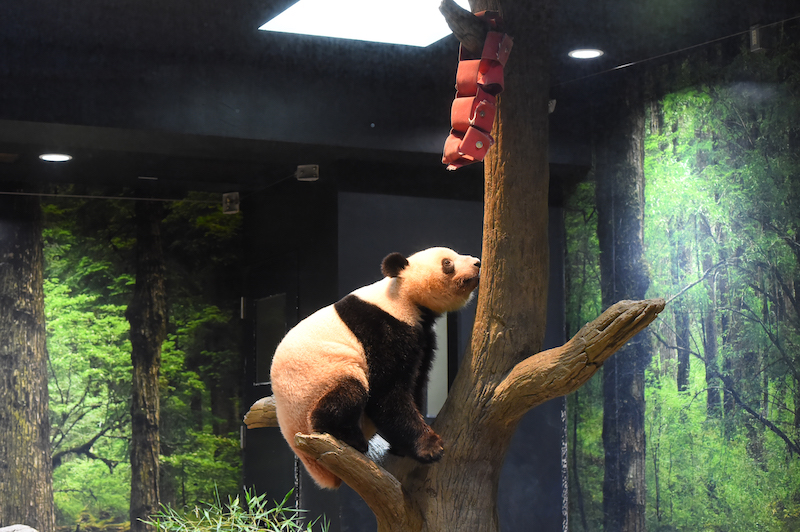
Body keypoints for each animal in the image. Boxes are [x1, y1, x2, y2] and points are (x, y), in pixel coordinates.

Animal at [268, 247, 482, 488]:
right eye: (447, 263)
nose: (477, 263)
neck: (402, 297)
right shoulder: (380, 329)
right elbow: (386, 393)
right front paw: (430, 446)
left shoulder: (422, 336)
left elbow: (416, 383)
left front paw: (403, 447)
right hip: (319, 381)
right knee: (348, 393)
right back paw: (349, 437)